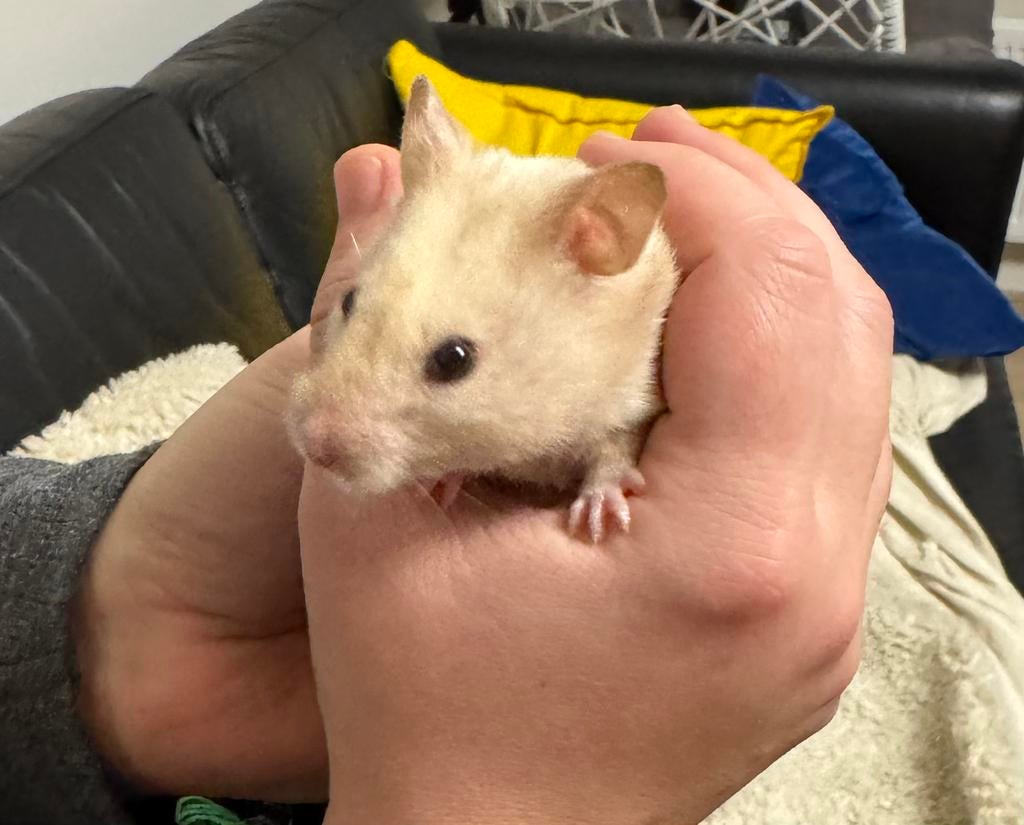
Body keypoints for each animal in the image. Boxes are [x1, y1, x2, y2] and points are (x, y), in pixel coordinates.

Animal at [287, 76, 680, 542]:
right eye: (348, 301)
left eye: (454, 359)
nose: (313, 447)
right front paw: (444, 483)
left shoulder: (635, 394)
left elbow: (616, 447)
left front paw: (597, 521)